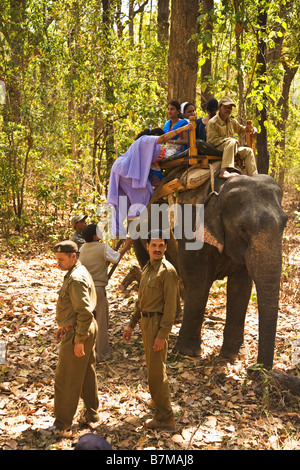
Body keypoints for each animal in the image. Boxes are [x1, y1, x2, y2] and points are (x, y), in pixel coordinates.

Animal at [133, 171, 288, 370]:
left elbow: (241, 289)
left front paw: (233, 355)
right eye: (243, 228)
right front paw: (187, 352)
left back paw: (175, 319)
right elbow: (199, 283)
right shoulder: (191, 233)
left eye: (284, 223)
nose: (257, 370)